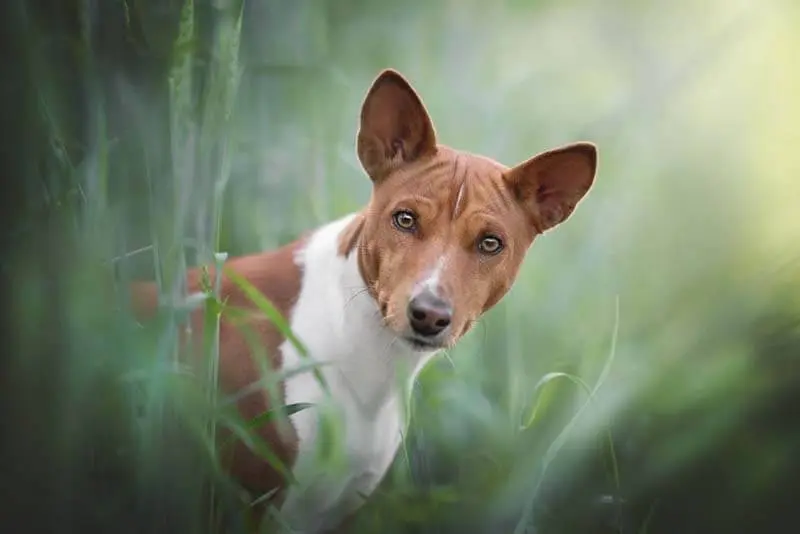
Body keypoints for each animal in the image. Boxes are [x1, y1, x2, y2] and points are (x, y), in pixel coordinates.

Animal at [130, 69, 592, 532]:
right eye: (404, 219)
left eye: (490, 243)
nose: (428, 315)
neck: (370, 367)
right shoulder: (244, 503)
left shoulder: (338, 510)